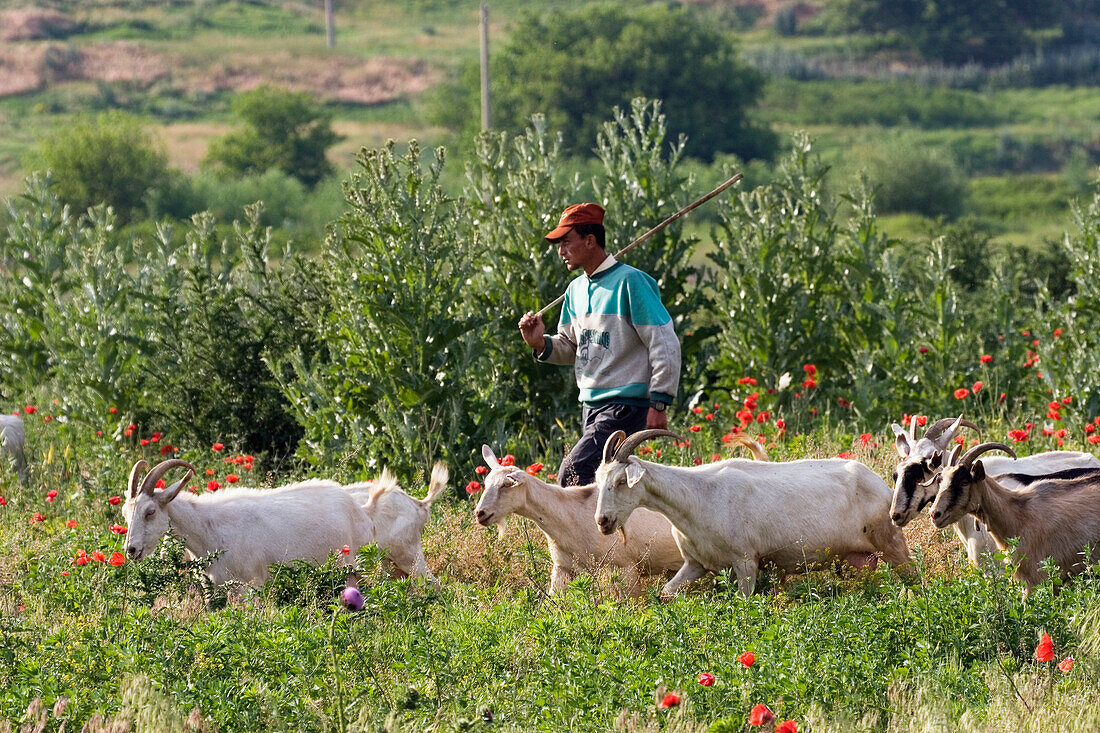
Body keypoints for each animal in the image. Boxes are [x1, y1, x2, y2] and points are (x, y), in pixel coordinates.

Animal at [123, 460, 376, 585]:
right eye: (125, 514)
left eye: (150, 511)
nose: (131, 549)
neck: (209, 530)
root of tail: (360, 510)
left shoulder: (251, 584)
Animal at [475, 444, 682, 594]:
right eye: (486, 483)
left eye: (506, 485)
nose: (480, 513)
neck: (570, 515)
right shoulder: (563, 568)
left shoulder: (626, 568)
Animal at [594, 429, 910, 594]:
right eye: (598, 479)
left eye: (621, 481)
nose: (603, 521)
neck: (698, 495)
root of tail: (881, 484)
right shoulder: (696, 563)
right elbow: (666, 594)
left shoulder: (746, 559)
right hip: (860, 559)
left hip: (891, 541)